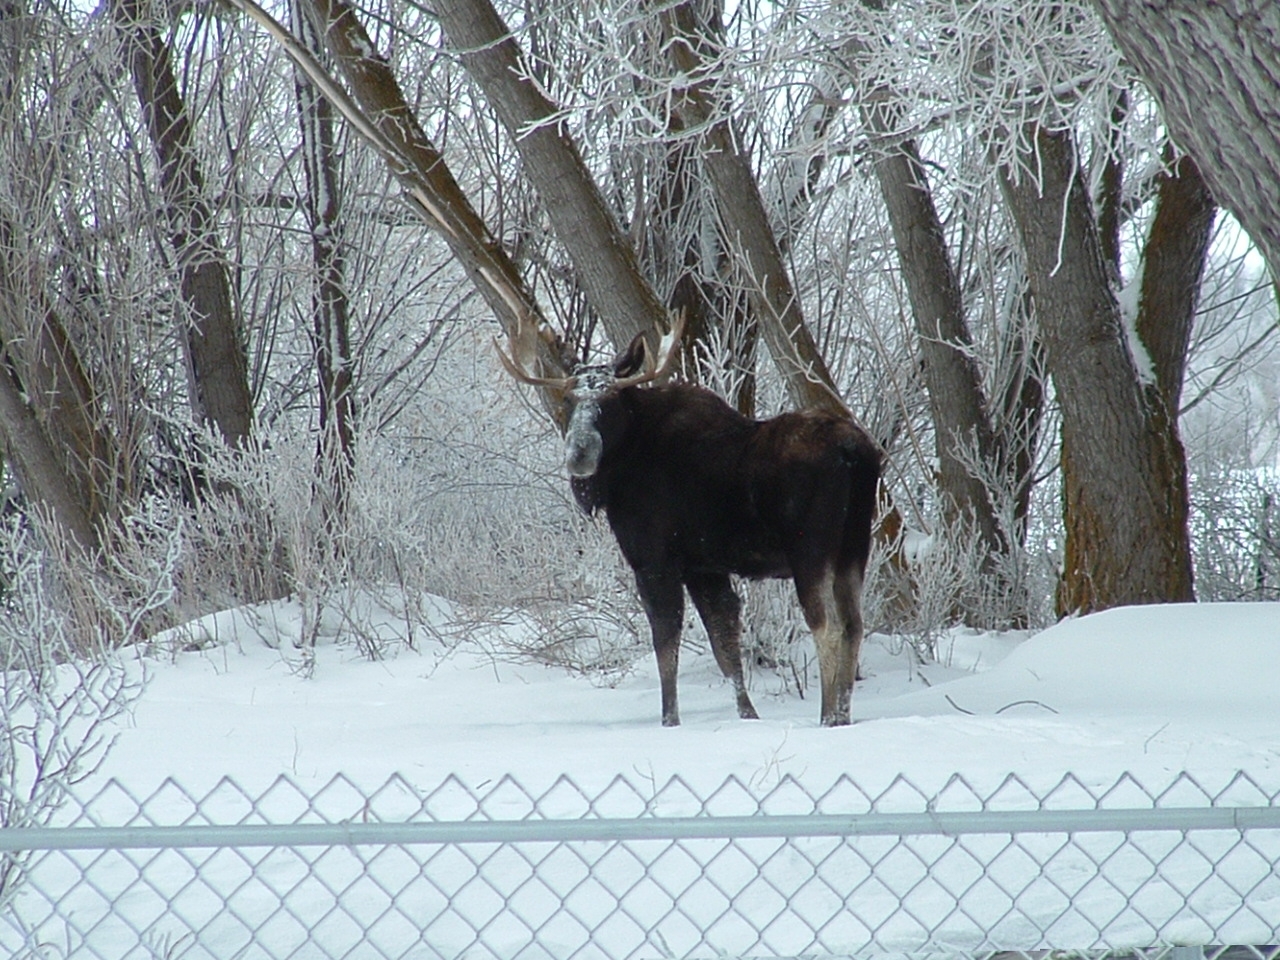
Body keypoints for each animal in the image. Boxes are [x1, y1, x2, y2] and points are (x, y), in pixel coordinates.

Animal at [497, 315, 881, 726]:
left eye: (609, 401)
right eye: (569, 399)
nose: (579, 454)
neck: (619, 470)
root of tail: (856, 452)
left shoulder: (653, 559)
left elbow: (666, 643)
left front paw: (670, 719)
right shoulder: (704, 567)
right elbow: (725, 645)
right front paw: (748, 715)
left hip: (810, 548)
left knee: (828, 626)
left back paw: (827, 717)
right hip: (855, 547)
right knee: (855, 625)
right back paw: (843, 715)